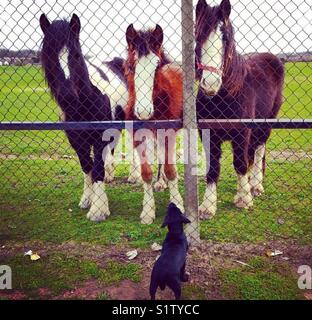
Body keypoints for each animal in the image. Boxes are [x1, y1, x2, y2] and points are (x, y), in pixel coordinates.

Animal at [123, 23, 184, 224]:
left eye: (156, 66)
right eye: (131, 65)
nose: (143, 111)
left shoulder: (169, 133)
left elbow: (170, 168)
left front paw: (178, 203)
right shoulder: (138, 136)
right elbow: (146, 172)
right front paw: (148, 211)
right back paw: (160, 182)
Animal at [195, 0, 286, 219]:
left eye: (226, 38)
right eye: (198, 37)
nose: (210, 84)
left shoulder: (242, 132)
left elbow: (240, 163)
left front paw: (244, 199)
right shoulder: (208, 133)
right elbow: (213, 167)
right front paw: (208, 206)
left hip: (266, 124)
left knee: (258, 150)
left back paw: (255, 185)